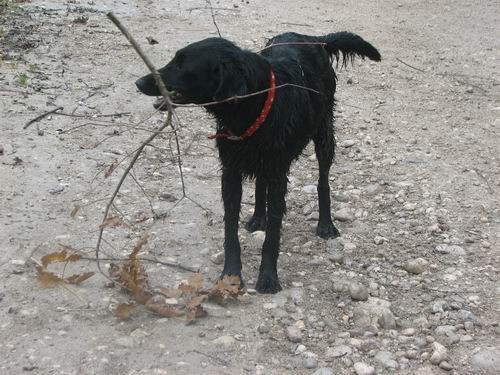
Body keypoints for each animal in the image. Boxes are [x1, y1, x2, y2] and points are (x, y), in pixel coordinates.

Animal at [135, 31, 380, 294]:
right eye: (174, 59)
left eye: (182, 65)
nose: (138, 82)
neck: (253, 106)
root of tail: (312, 38)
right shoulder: (231, 172)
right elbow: (230, 231)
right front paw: (231, 275)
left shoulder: (278, 175)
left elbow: (272, 235)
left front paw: (268, 277)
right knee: (261, 184)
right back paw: (258, 217)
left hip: (324, 135)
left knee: (323, 181)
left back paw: (325, 223)